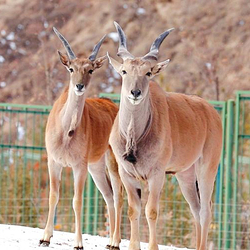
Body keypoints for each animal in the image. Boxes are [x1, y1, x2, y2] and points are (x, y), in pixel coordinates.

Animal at [39, 27, 124, 250]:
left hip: (113, 163)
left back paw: (115, 241)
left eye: (90, 70)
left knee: (119, 196)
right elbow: (53, 196)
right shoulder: (54, 162)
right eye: (71, 68)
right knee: (108, 195)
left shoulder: (79, 166)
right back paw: (110, 241)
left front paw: (78, 243)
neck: (66, 132)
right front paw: (45, 237)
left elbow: (77, 201)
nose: (79, 86)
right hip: (96, 166)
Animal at [107, 22, 223, 250]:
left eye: (148, 73)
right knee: (196, 210)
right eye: (124, 71)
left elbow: (151, 211)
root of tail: (212, 113)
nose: (135, 93)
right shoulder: (127, 174)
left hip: (207, 169)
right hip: (185, 176)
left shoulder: (157, 174)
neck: (134, 138)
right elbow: (133, 210)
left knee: (205, 211)